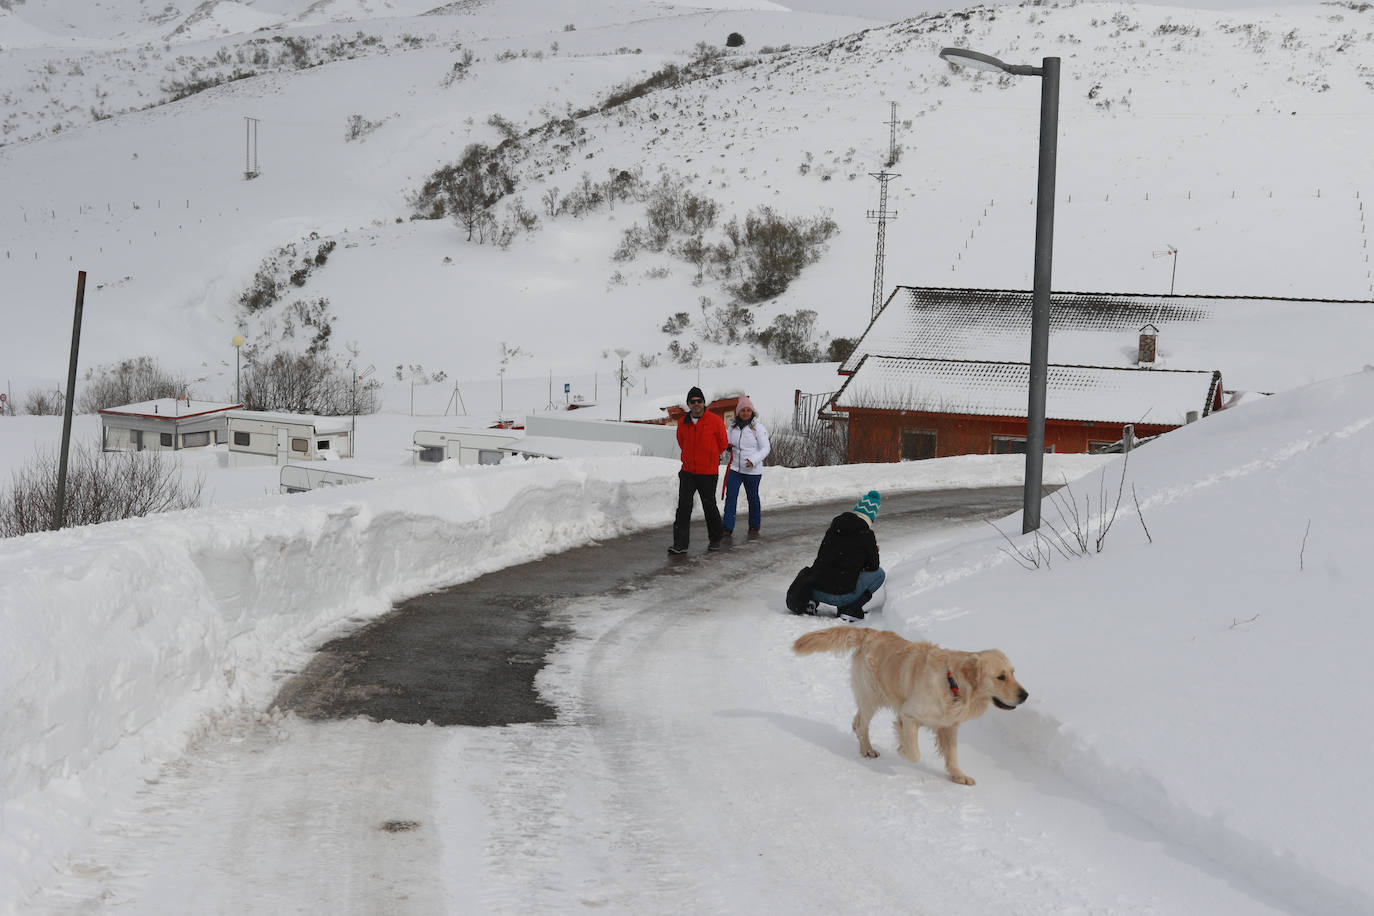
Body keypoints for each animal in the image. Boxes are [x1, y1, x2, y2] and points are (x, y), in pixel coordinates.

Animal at [791, 631, 1027, 791]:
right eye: (1001, 677)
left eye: (1013, 673)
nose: (1025, 695)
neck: (952, 684)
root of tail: (871, 632)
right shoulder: (908, 715)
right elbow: (914, 753)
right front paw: (902, 750)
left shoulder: (949, 726)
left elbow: (952, 755)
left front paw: (959, 775)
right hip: (871, 696)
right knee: (861, 724)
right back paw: (868, 749)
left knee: (856, 721)